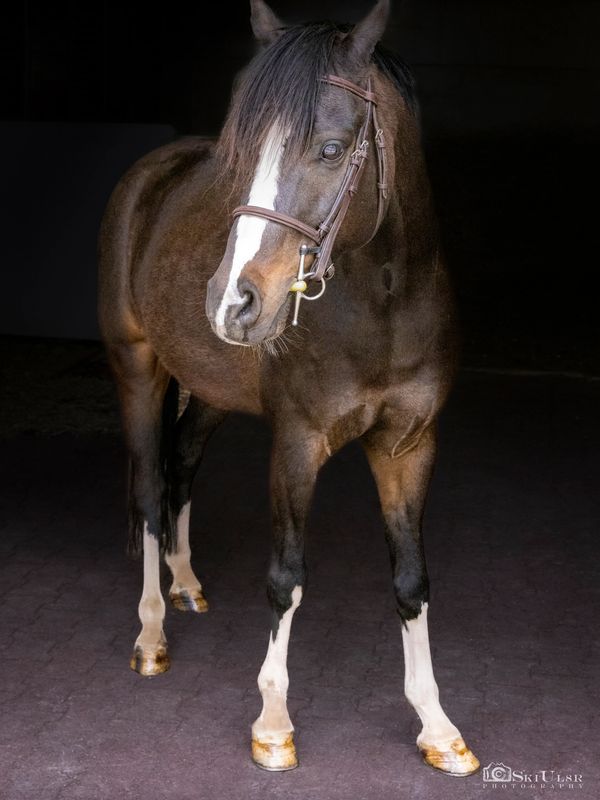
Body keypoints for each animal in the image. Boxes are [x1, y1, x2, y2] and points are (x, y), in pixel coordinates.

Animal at [99, 0, 478, 776]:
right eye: (243, 155)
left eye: (332, 150)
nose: (233, 302)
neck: (385, 307)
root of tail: (150, 172)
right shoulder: (298, 443)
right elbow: (286, 577)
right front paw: (273, 724)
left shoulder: (409, 445)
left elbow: (412, 581)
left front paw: (437, 726)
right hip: (137, 367)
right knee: (150, 491)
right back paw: (151, 635)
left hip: (208, 391)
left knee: (181, 466)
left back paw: (186, 584)